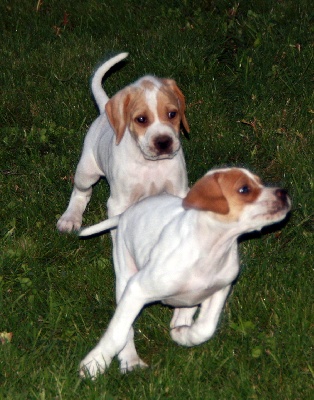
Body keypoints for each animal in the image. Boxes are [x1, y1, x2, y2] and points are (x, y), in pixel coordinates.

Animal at [79, 167, 292, 380]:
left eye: (260, 182)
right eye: (244, 189)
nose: (283, 192)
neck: (212, 248)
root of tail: (126, 213)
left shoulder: (221, 289)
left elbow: (206, 328)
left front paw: (184, 335)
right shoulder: (136, 289)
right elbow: (118, 333)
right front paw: (94, 363)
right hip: (124, 275)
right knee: (127, 330)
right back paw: (130, 360)